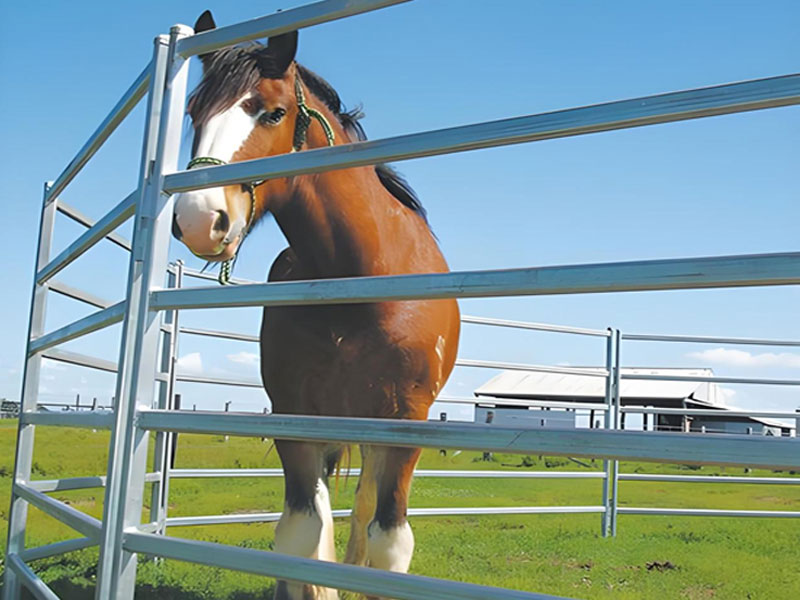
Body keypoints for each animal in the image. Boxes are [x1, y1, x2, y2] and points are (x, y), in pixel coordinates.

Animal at [173, 10, 462, 600]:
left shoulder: (404, 423)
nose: (197, 218)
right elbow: (303, 533)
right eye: (194, 113)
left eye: (273, 112)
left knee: (365, 507)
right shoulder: (295, 416)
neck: (360, 284)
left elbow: (387, 541)